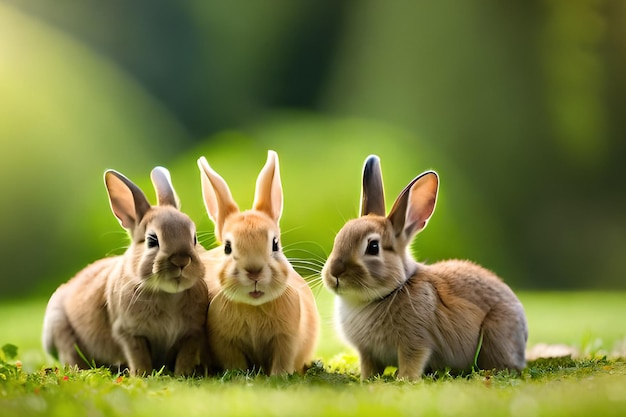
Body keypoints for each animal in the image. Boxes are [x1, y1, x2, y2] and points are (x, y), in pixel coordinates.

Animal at [44, 167, 211, 376]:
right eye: (152, 240)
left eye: (194, 238)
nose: (181, 261)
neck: (168, 294)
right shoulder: (129, 333)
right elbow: (138, 356)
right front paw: (142, 375)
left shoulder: (192, 333)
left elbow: (185, 357)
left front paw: (183, 375)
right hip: (59, 327)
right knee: (71, 355)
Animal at [197, 150, 320, 374]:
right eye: (228, 247)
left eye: (275, 244)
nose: (254, 272)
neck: (254, 307)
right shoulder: (225, 343)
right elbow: (234, 362)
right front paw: (239, 375)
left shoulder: (286, 339)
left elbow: (282, 360)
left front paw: (279, 376)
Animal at [320, 154, 524, 378]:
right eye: (338, 238)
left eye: (373, 247)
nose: (334, 273)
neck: (391, 291)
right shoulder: (367, 353)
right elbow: (369, 367)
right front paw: (366, 379)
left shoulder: (416, 342)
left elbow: (412, 362)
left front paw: (404, 380)